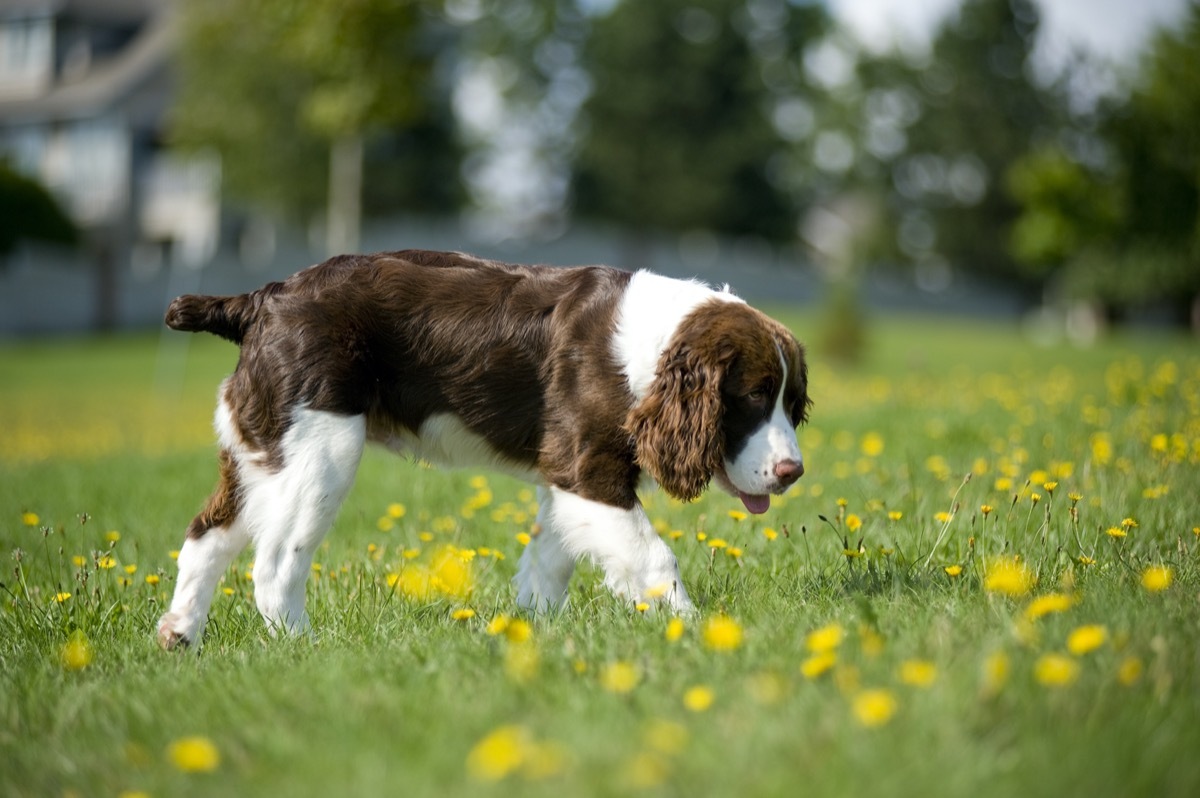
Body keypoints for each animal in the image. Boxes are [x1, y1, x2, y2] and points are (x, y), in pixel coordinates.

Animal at [154, 249, 811, 648]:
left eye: (792, 399)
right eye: (754, 395)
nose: (792, 472)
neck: (648, 352)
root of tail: (260, 300)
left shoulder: (565, 479)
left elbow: (548, 562)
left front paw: (533, 632)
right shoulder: (588, 469)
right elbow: (653, 559)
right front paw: (699, 635)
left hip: (260, 443)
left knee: (206, 535)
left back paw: (179, 635)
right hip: (320, 448)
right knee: (274, 562)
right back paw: (306, 648)